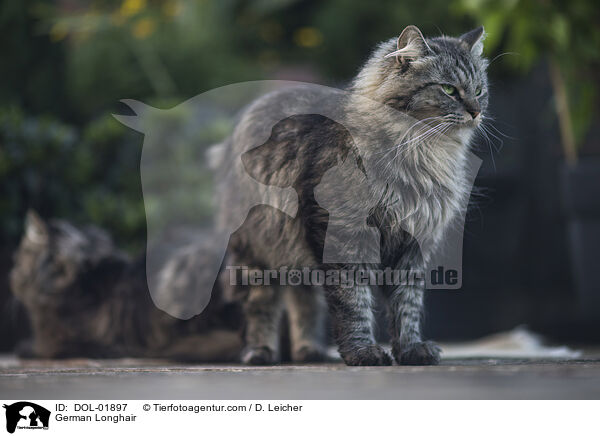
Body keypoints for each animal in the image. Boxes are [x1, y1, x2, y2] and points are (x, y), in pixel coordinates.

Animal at [216, 25, 488, 366]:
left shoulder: (412, 245)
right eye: (449, 90)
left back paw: (309, 352)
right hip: (258, 249)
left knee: (304, 301)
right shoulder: (345, 237)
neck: (421, 154)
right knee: (261, 305)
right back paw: (260, 352)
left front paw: (411, 350)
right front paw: (363, 352)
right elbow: (353, 302)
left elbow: (407, 306)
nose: (477, 112)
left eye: (479, 90)